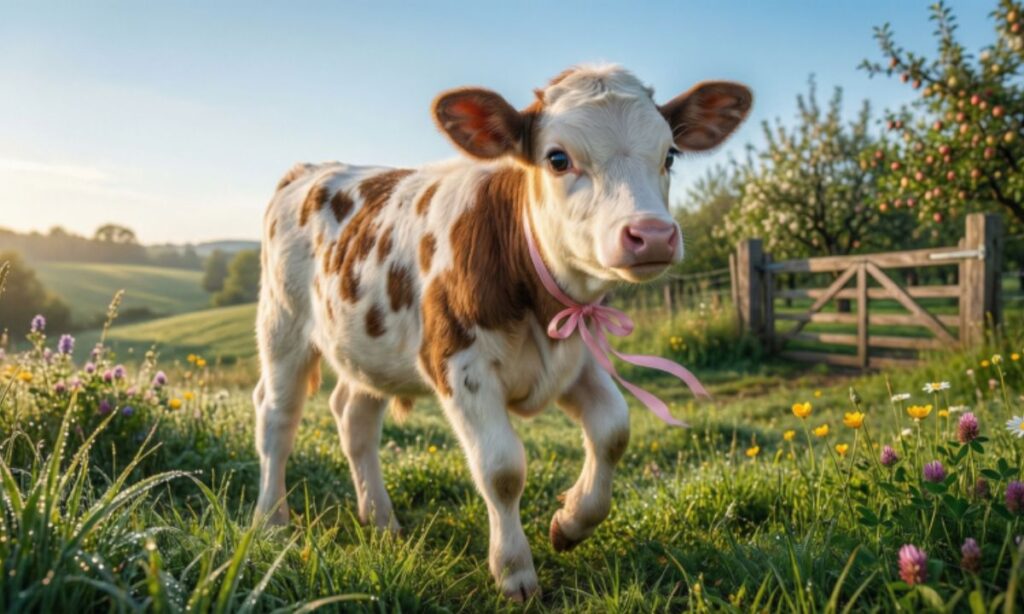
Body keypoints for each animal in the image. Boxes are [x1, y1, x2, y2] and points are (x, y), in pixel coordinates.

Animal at [253, 63, 751, 600]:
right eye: (558, 158)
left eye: (670, 154)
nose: (653, 235)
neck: (539, 295)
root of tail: (312, 169)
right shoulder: (459, 367)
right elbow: (502, 469)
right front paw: (514, 569)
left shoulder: (576, 356)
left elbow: (613, 431)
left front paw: (571, 521)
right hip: (282, 326)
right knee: (277, 419)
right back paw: (271, 520)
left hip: (367, 348)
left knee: (354, 418)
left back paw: (381, 520)